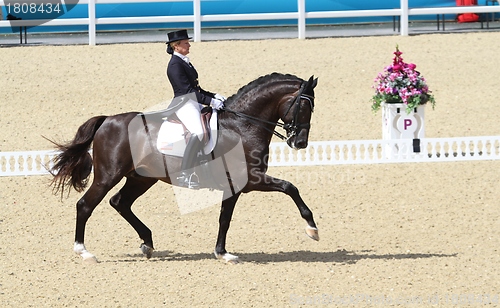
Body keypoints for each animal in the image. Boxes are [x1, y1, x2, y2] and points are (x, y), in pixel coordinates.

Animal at [48, 71, 318, 262]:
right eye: (304, 106)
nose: (300, 143)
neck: (242, 126)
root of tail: (107, 121)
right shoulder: (251, 179)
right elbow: (290, 187)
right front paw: (312, 228)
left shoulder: (234, 186)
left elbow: (225, 219)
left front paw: (222, 253)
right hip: (108, 176)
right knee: (85, 205)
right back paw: (84, 252)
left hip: (141, 178)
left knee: (120, 202)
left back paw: (147, 243)